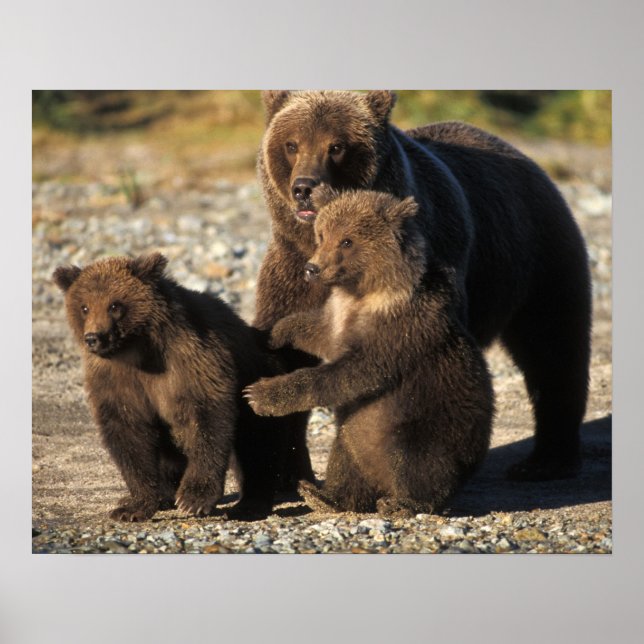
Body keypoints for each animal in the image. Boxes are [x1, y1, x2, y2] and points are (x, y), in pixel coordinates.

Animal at [53, 252, 288, 522]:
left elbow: (207, 419)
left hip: (256, 381)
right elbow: (128, 432)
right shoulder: (116, 380)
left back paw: (250, 504)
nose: (94, 338)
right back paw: (161, 495)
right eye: (84, 307)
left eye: (115, 305)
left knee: (256, 444)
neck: (138, 350)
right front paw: (133, 507)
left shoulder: (191, 360)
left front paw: (193, 499)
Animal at [245, 188, 494, 516]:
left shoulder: (398, 332)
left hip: (430, 428)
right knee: (346, 455)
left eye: (347, 241)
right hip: (356, 436)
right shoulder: (340, 316)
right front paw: (274, 332)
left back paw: (403, 503)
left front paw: (260, 395)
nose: (312, 268)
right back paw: (324, 495)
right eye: (322, 234)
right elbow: (316, 330)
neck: (365, 293)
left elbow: (351, 374)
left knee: (414, 461)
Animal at [254, 89, 592, 481]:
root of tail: (528, 159)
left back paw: (545, 461)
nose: (305, 188)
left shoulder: (431, 269)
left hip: (538, 258)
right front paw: (287, 469)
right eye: (291, 144)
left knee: (553, 348)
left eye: (336, 146)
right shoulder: (292, 270)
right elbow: (284, 343)